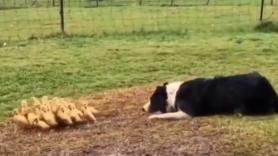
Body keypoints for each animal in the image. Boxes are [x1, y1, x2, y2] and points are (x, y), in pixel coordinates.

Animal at [142, 72, 278, 120]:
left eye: (151, 99)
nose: (142, 108)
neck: (173, 94)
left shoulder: (187, 113)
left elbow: (165, 115)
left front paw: (153, 116)